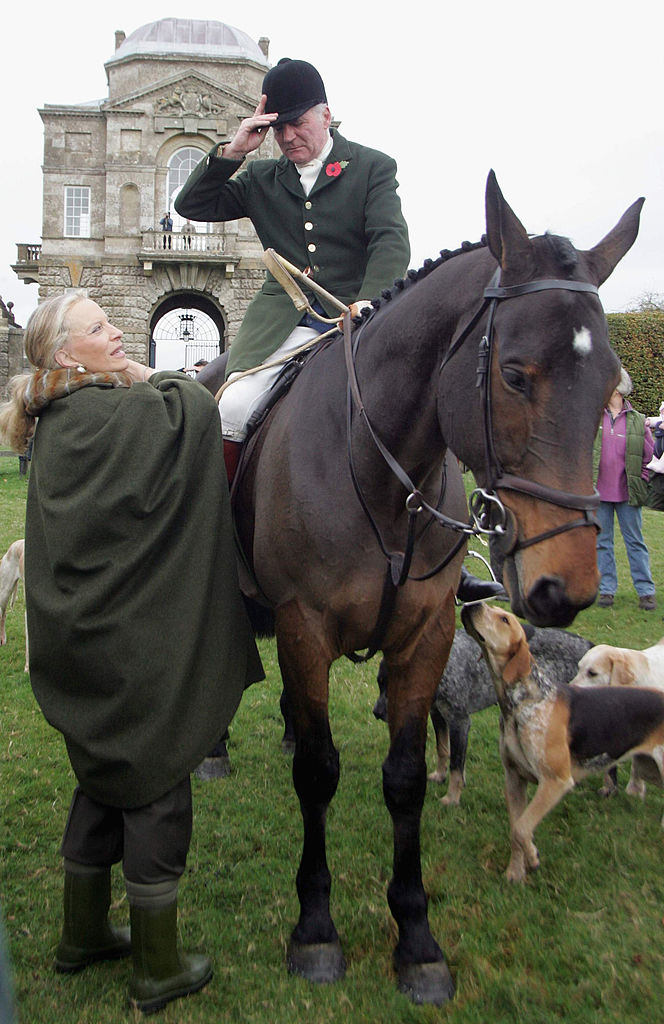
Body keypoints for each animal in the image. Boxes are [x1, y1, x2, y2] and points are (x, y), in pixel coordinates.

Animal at [206, 174, 643, 999]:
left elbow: (406, 777)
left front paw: (415, 937)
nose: (562, 588)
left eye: (614, 385)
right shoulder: (305, 627)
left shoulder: (426, 637)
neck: (377, 468)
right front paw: (316, 929)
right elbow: (320, 773)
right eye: (514, 374)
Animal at [459, 602, 664, 884]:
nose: (471, 604)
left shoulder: (555, 782)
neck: (523, 702)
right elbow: (516, 829)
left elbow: (522, 828)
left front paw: (532, 856)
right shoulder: (513, 779)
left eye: (504, 619)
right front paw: (515, 872)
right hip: (647, 768)